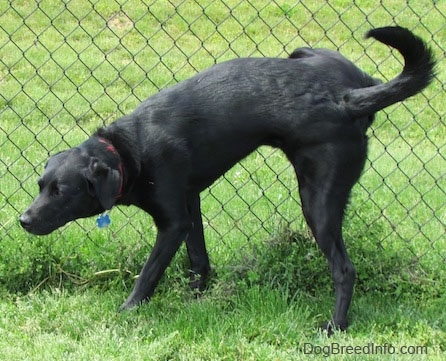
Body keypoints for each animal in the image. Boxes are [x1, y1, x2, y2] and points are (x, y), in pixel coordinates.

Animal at [19, 27, 434, 332]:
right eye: (40, 186)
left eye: (61, 191)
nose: (23, 220)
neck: (127, 149)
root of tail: (348, 97)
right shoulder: (190, 204)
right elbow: (199, 260)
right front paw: (196, 298)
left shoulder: (172, 222)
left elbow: (148, 273)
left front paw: (128, 311)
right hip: (306, 54)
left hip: (318, 200)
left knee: (344, 270)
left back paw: (335, 326)